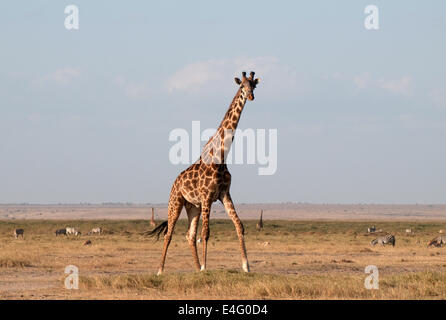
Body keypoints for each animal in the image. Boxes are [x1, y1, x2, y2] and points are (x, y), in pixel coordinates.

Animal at [151, 71, 258, 274]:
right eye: (242, 86)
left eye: (253, 85)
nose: (250, 96)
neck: (221, 157)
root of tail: (175, 182)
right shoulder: (207, 196)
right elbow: (206, 233)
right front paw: (205, 267)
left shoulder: (224, 194)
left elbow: (239, 225)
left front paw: (246, 266)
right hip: (176, 201)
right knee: (170, 233)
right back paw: (160, 270)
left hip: (193, 207)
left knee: (189, 235)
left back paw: (195, 267)